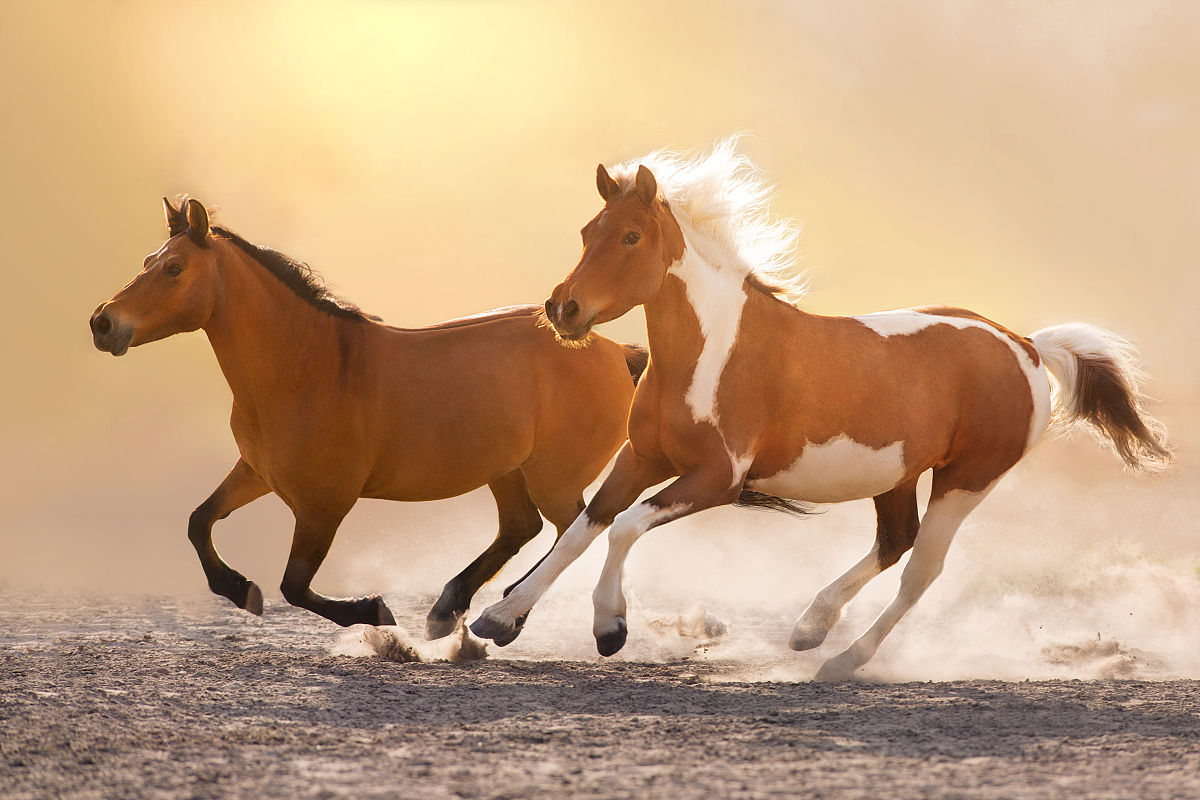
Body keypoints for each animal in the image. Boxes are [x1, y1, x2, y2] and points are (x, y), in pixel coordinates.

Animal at [90, 196, 647, 638]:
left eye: (173, 269)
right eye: (149, 260)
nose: (103, 323)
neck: (307, 368)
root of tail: (618, 352)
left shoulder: (324, 504)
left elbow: (294, 586)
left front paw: (373, 611)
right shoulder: (255, 473)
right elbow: (199, 521)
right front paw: (238, 588)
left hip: (553, 478)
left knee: (574, 530)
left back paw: (511, 618)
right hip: (507, 470)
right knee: (522, 528)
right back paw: (451, 610)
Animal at [470, 139, 1172, 679]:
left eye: (631, 235)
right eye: (587, 232)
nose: (562, 309)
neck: (708, 351)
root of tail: (1024, 345)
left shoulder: (717, 480)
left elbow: (622, 526)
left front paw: (609, 627)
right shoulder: (643, 456)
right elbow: (585, 526)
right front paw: (498, 618)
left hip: (967, 479)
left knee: (921, 571)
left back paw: (841, 661)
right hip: (898, 474)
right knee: (895, 542)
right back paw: (810, 628)